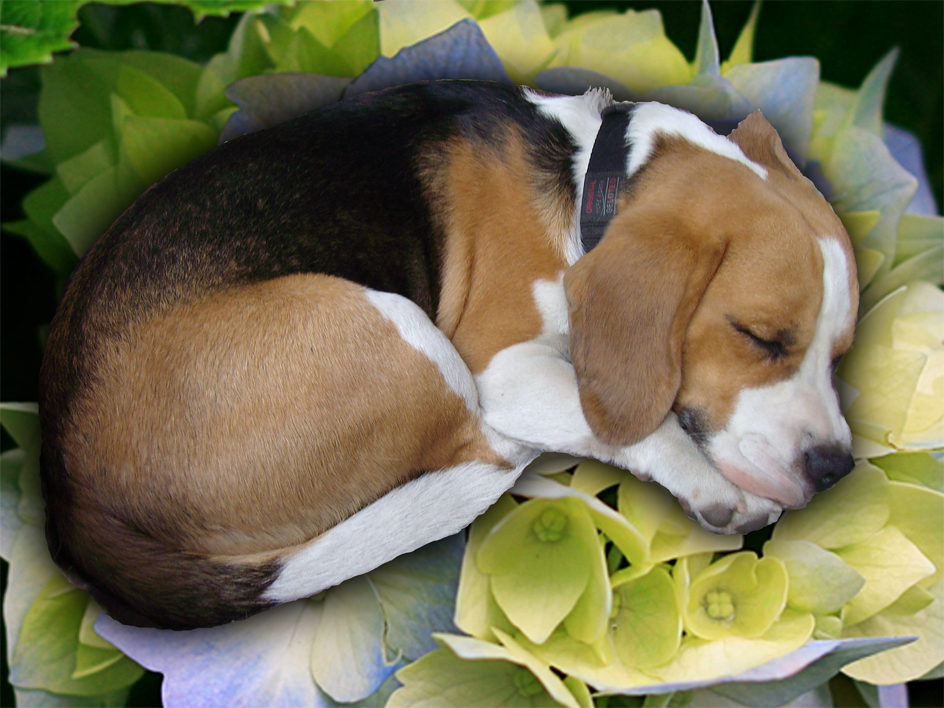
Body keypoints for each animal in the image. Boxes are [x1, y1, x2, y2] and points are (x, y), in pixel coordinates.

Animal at [38, 80, 858, 630]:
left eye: (839, 353)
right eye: (760, 337)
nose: (836, 469)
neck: (588, 181)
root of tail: (70, 499)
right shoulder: (500, 366)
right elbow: (629, 422)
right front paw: (708, 483)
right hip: (401, 331)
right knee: (486, 453)